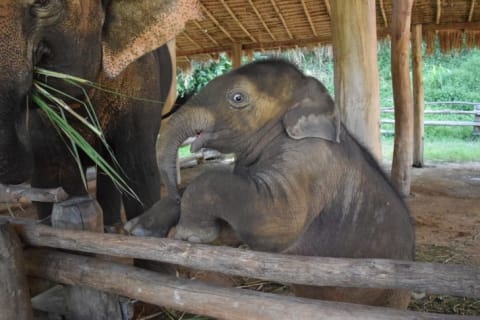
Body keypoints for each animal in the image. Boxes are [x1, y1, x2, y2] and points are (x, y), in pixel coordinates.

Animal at [125, 58, 414, 308]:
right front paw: (137, 229)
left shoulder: (309, 162)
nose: (172, 191)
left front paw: (190, 235)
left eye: (238, 98)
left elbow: (274, 220)